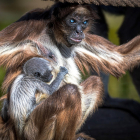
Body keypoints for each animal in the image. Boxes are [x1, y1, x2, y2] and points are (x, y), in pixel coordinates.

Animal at [0, 1, 140, 140]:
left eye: (84, 22)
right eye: (72, 21)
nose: (79, 31)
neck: (55, 37)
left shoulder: (81, 39)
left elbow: (121, 58)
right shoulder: (31, 26)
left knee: (94, 83)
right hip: (33, 129)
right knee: (70, 92)